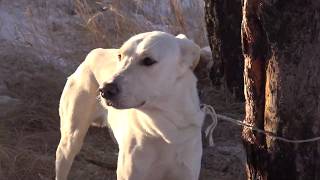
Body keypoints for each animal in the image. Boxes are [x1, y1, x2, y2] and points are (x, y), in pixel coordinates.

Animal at [55, 31, 205, 179]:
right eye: (120, 56)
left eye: (148, 60)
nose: (104, 90)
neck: (165, 128)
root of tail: (95, 52)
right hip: (70, 142)